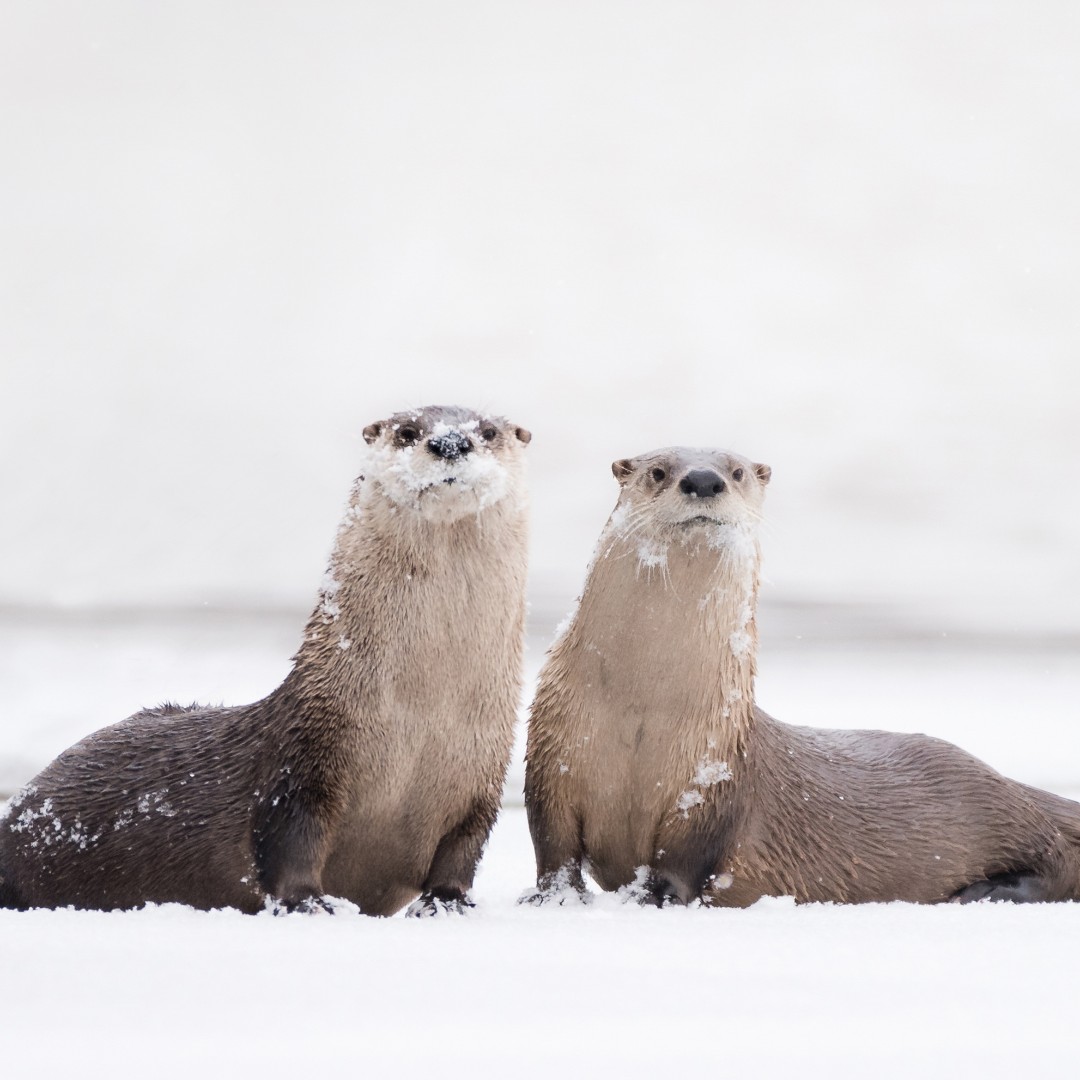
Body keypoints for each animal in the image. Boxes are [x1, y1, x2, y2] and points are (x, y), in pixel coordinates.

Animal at [0, 405, 531, 916]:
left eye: (487, 432)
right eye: (407, 431)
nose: (450, 441)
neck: (418, 721)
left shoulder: (483, 779)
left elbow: (463, 852)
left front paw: (447, 902)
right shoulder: (303, 762)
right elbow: (289, 838)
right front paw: (308, 902)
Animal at [524, 447, 1080, 906]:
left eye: (737, 471)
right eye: (658, 472)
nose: (703, 480)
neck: (642, 714)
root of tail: (1013, 786)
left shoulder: (712, 783)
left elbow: (683, 862)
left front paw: (654, 897)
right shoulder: (552, 756)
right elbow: (552, 848)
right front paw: (552, 900)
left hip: (1000, 812)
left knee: (1056, 860)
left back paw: (984, 891)